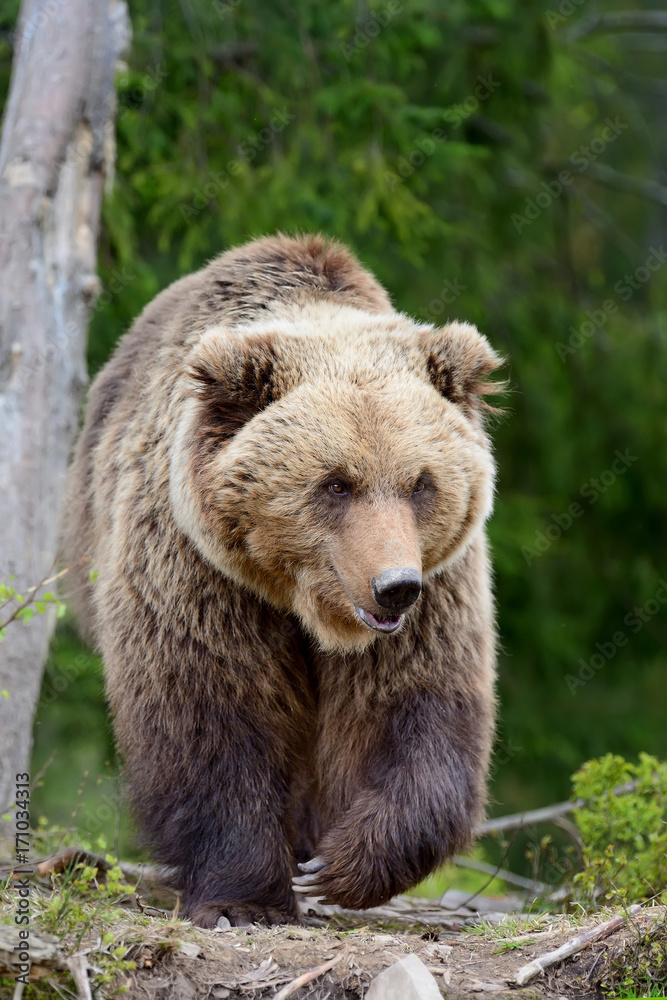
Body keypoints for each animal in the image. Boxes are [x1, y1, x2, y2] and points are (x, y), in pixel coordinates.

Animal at [62, 234, 504, 928]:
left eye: (421, 483)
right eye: (336, 483)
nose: (394, 585)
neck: (305, 604)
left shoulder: (437, 592)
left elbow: (413, 708)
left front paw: (341, 864)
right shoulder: (200, 574)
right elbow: (211, 714)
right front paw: (244, 898)